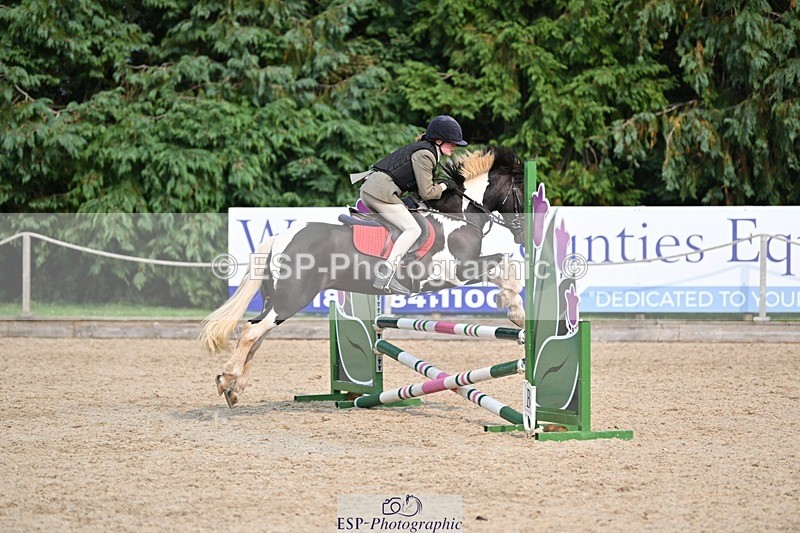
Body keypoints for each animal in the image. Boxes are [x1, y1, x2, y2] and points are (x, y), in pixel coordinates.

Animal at [200, 146, 527, 407]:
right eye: (522, 194)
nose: (524, 234)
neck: (457, 218)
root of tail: (280, 237)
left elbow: (503, 264)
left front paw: (514, 309)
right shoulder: (455, 273)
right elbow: (504, 263)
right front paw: (516, 311)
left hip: (278, 299)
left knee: (257, 335)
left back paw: (234, 389)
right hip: (291, 299)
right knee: (252, 331)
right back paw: (227, 378)